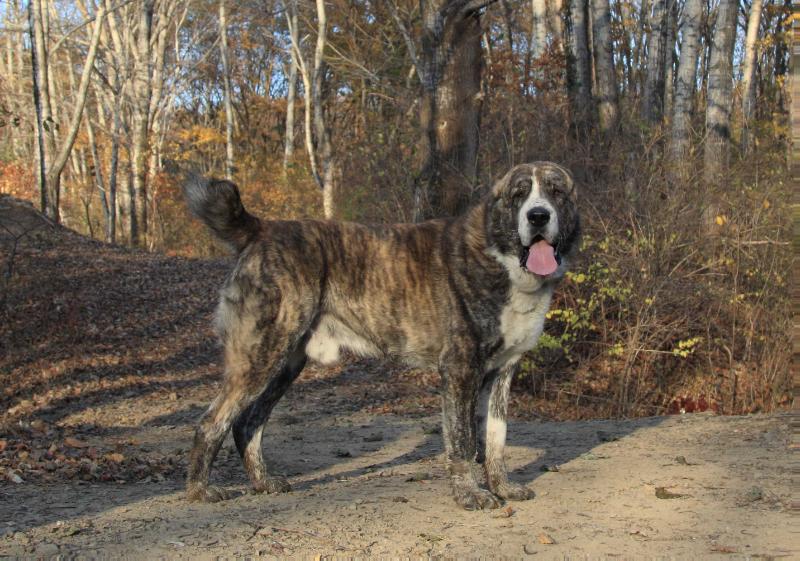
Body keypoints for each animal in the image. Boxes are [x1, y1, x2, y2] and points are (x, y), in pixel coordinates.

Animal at [184, 161, 580, 508]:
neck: (498, 256)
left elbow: (496, 439)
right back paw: (201, 491)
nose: (538, 216)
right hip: (260, 357)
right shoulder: (460, 371)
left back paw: (262, 482)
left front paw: (503, 487)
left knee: (247, 422)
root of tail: (262, 229)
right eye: (519, 195)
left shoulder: (502, 373)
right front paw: (470, 494)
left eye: (556, 192)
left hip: (284, 365)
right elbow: (464, 441)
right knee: (212, 422)